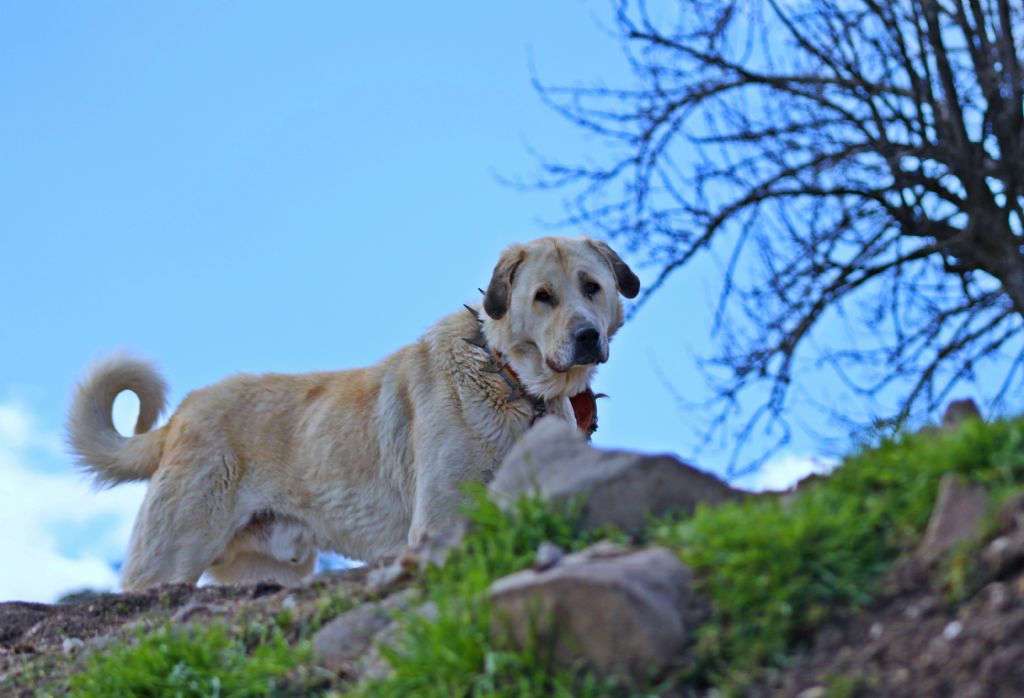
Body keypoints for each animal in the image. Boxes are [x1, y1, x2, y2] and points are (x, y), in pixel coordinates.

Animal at [68, 236, 634, 589]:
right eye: (542, 297)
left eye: (592, 286)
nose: (587, 337)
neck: (510, 380)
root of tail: (183, 412)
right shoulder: (439, 519)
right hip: (169, 560)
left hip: (265, 572)